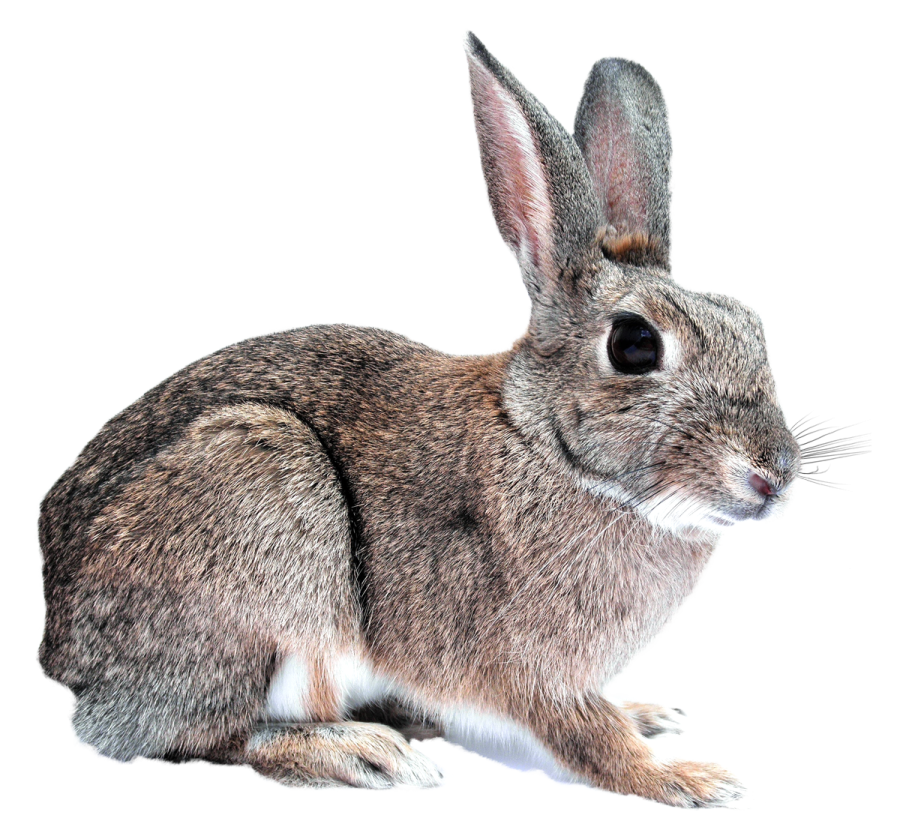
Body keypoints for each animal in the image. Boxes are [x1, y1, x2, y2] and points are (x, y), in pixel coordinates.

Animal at [34, 29, 802, 808]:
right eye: (635, 345)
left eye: (754, 326)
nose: (774, 476)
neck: (546, 447)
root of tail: (63, 645)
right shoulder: (534, 671)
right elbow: (591, 740)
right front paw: (692, 777)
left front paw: (650, 716)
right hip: (262, 505)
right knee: (193, 734)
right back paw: (365, 754)